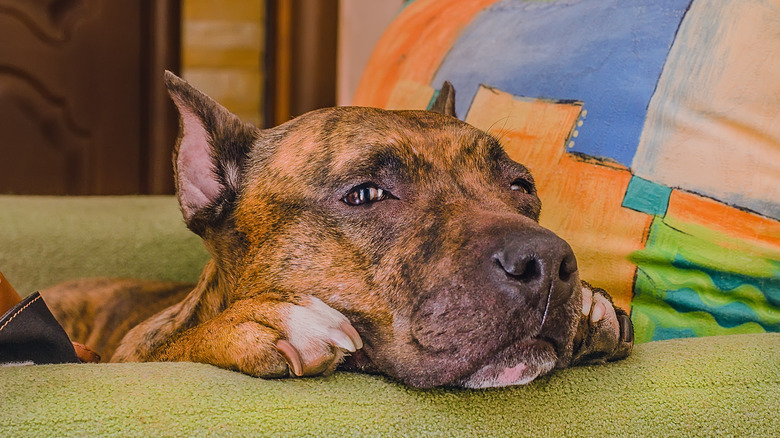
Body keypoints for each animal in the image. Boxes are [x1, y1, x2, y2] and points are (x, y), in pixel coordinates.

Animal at [42, 73, 632, 388]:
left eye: (521, 185)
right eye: (365, 194)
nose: (547, 262)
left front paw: (591, 307)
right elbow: (179, 345)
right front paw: (253, 323)